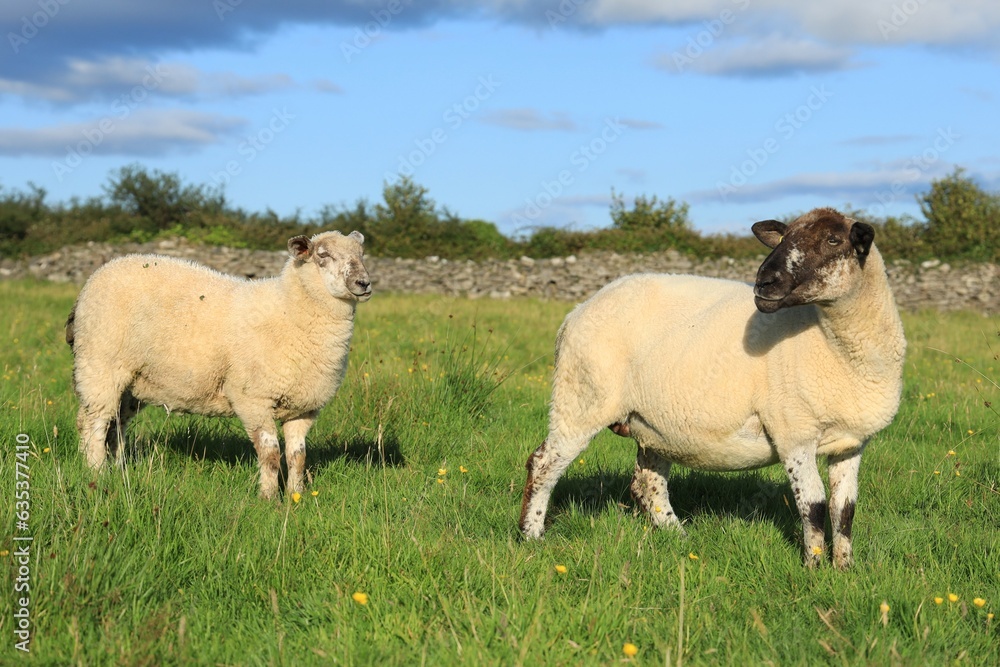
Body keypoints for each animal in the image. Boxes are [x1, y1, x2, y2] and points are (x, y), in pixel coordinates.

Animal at [66, 230, 371, 499]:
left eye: (361, 254)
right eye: (323, 255)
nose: (364, 283)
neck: (289, 309)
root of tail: (94, 278)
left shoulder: (304, 407)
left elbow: (297, 457)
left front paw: (297, 496)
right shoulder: (253, 399)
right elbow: (270, 453)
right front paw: (269, 498)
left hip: (132, 383)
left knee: (114, 426)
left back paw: (117, 470)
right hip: (100, 365)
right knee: (94, 424)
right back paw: (96, 473)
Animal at [519, 208, 906, 568]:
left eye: (833, 240)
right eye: (784, 238)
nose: (764, 282)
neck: (833, 345)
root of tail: (577, 310)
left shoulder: (850, 442)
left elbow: (844, 509)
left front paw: (844, 569)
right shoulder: (793, 431)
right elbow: (813, 505)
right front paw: (812, 568)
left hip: (651, 423)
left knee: (647, 483)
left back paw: (679, 538)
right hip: (582, 396)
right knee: (543, 463)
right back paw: (531, 535)